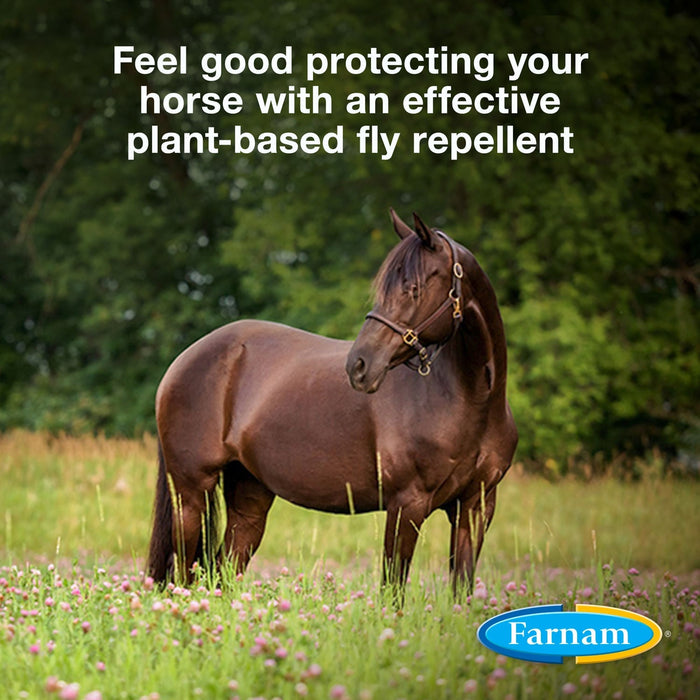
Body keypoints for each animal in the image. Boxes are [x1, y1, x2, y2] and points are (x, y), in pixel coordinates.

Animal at [147, 209, 517, 593]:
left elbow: (461, 588)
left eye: (414, 289)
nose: (360, 365)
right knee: (181, 575)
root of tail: (183, 360)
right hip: (191, 495)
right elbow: (393, 590)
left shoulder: (475, 508)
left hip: (249, 498)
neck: (470, 401)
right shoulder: (407, 504)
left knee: (224, 571)